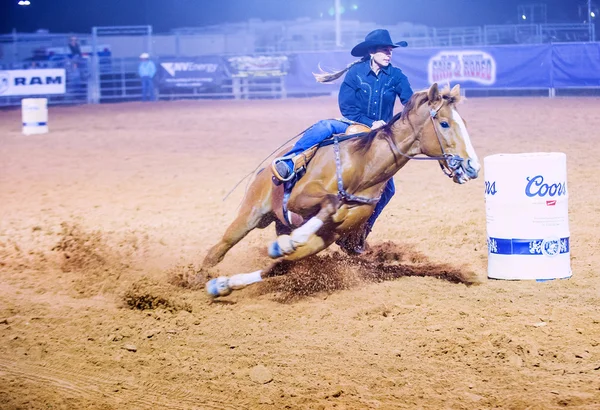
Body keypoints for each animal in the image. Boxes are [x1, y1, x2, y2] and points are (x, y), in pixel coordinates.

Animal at [204, 81, 480, 296]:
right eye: (444, 124)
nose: (473, 166)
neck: (361, 167)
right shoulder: (300, 198)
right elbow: (331, 202)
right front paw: (289, 242)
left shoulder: (328, 235)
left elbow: (282, 263)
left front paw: (282, 247)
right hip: (251, 215)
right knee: (218, 250)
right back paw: (200, 276)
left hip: (279, 221)